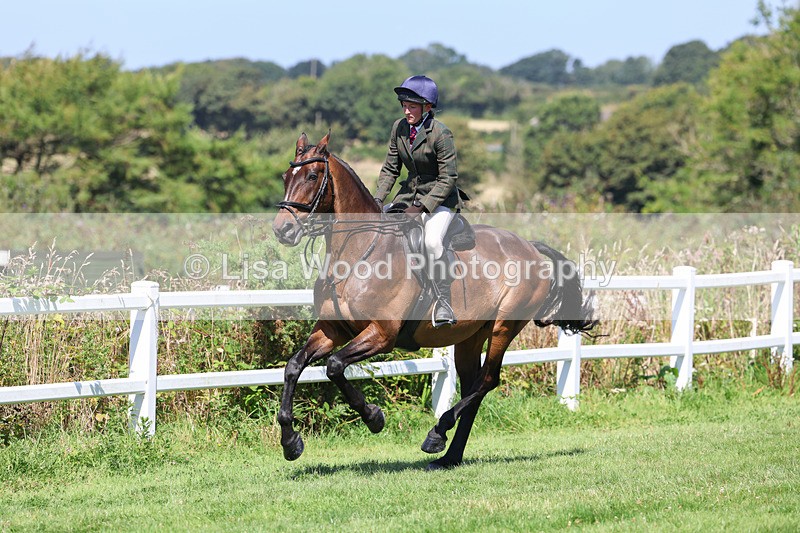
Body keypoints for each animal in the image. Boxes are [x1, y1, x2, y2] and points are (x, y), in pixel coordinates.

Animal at [272, 132, 596, 470]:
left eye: (312, 176)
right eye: (285, 177)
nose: (283, 230)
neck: (358, 251)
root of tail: (530, 247)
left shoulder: (382, 334)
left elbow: (334, 366)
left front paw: (374, 418)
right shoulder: (332, 330)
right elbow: (294, 366)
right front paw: (291, 443)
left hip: (503, 328)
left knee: (487, 380)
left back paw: (437, 433)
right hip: (470, 336)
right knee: (472, 385)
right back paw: (449, 455)